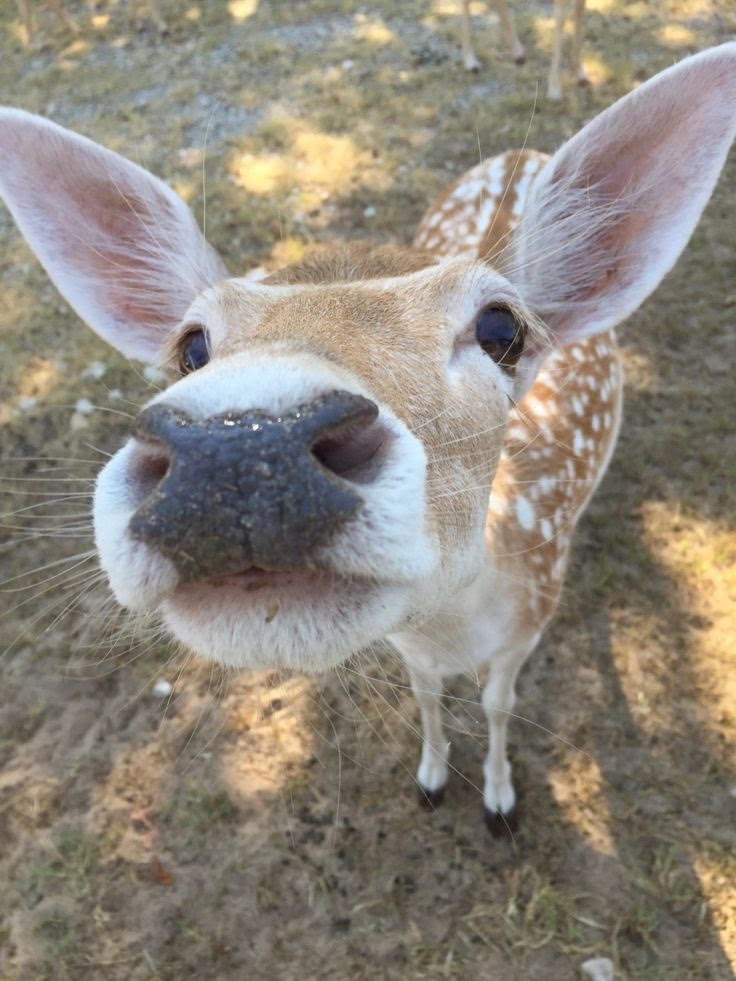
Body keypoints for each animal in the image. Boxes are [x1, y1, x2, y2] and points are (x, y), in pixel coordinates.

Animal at [1, 42, 736, 832]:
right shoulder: (409, 640)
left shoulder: (529, 622)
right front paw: (432, 777)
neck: (460, 624)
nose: (241, 452)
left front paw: (500, 800)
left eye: (501, 327)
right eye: (191, 344)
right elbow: (425, 691)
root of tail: (518, 152)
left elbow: (498, 702)